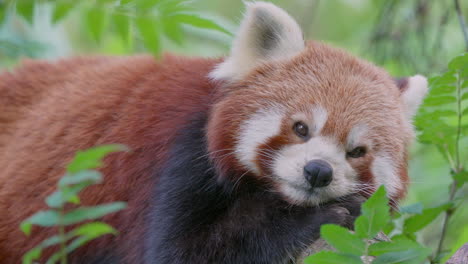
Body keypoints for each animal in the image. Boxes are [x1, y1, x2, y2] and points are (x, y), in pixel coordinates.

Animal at [0, 2, 428, 264]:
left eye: (357, 151)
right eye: (301, 128)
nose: (318, 171)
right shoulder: (178, 157)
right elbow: (183, 253)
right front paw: (313, 218)